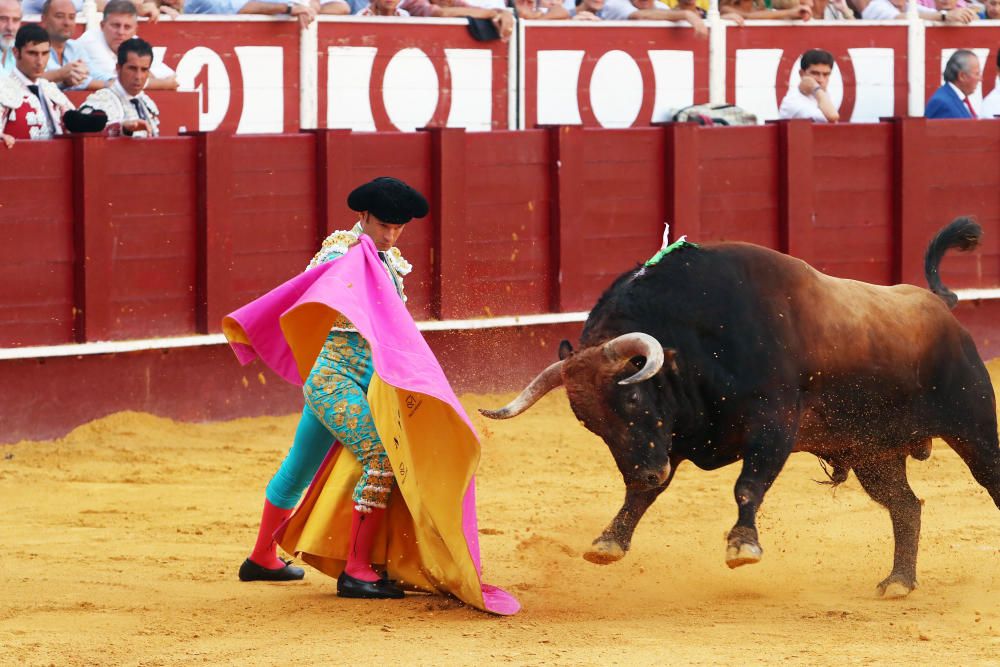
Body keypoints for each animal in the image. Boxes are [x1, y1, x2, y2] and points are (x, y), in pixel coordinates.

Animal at [480, 219, 996, 600]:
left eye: (633, 397)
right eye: (591, 424)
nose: (644, 471)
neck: (695, 339)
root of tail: (941, 308)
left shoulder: (774, 425)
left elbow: (748, 484)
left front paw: (743, 545)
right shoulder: (673, 439)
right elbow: (647, 496)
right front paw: (609, 541)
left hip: (973, 428)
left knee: (986, 480)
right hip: (874, 453)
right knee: (906, 506)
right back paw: (898, 582)